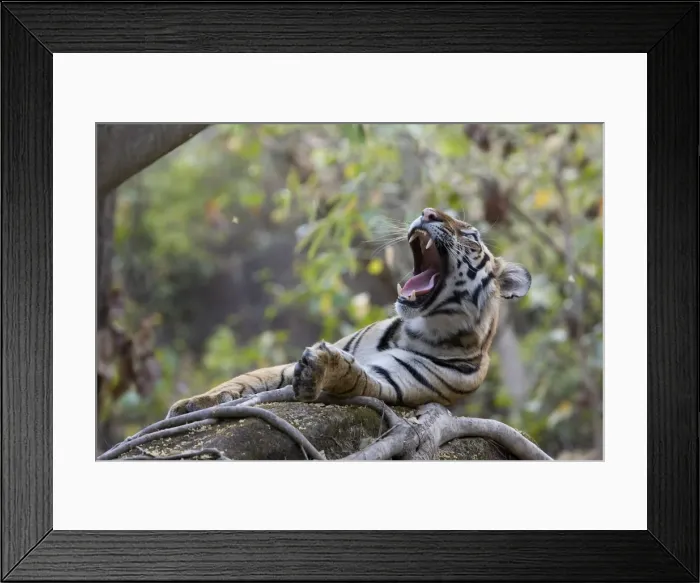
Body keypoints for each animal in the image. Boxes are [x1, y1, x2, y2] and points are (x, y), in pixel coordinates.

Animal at [166, 207, 531, 419]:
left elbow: (356, 377)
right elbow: (246, 379)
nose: (429, 213)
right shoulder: (279, 368)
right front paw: (191, 403)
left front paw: (321, 368)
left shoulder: (392, 384)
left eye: (471, 236)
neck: (415, 328)